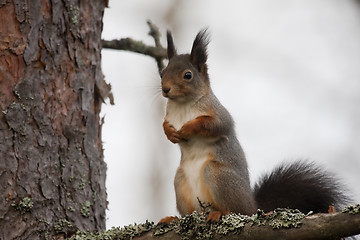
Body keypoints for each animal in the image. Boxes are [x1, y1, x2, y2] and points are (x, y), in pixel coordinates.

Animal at [159, 29, 348, 222]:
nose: (165, 89)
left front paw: (188, 128)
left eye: (188, 75)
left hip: (218, 176)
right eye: (162, 72)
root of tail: (253, 206)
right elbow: (164, 125)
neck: (183, 105)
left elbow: (213, 125)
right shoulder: (169, 116)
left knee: (235, 208)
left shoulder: (219, 114)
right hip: (180, 181)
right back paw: (174, 219)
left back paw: (221, 212)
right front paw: (169, 132)